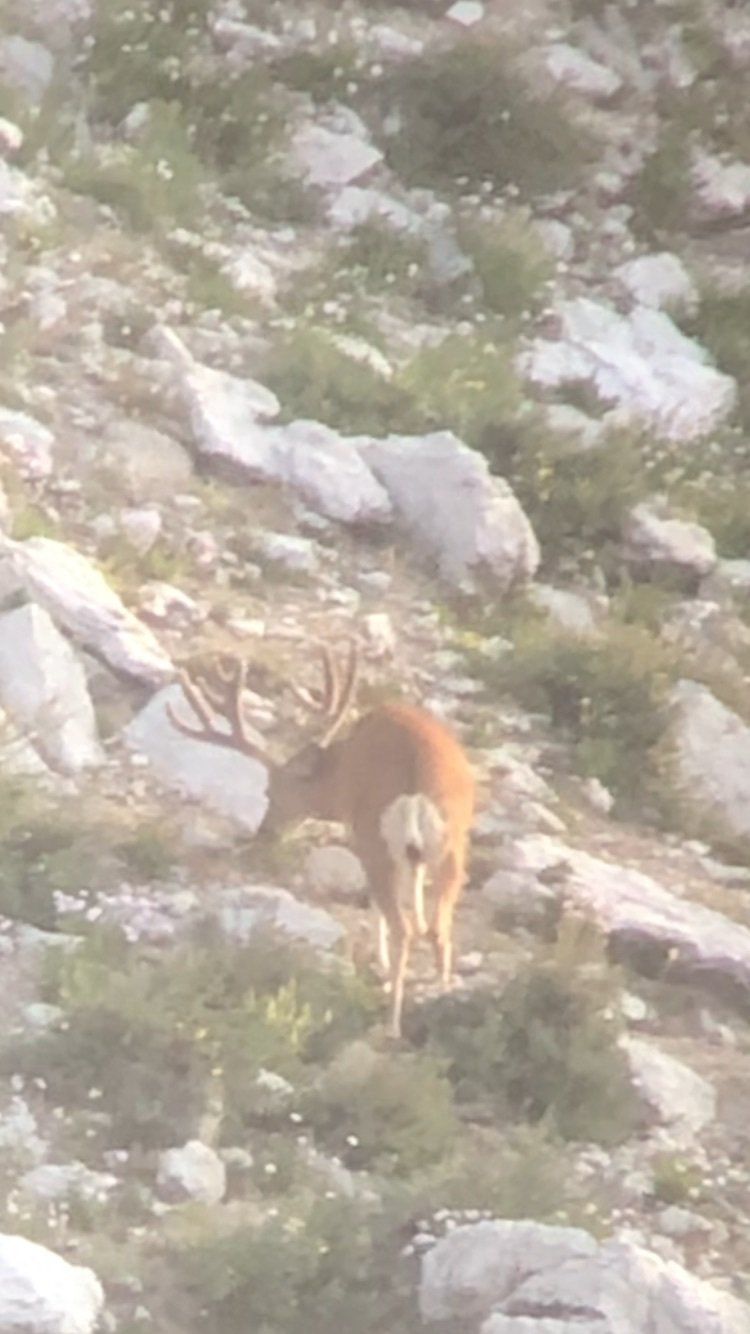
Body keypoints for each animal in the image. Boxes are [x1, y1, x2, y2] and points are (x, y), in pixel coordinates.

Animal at [167, 641, 475, 1039]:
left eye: (270, 792)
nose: (265, 831)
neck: (339, 770)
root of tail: (418, 789)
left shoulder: (361, 832)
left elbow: (379, 907)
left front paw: (381, 966)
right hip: (453, 846)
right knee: (439, 928)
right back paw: (443, 1000)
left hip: (378, 840)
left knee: (402, 927)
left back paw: (391, 1025)